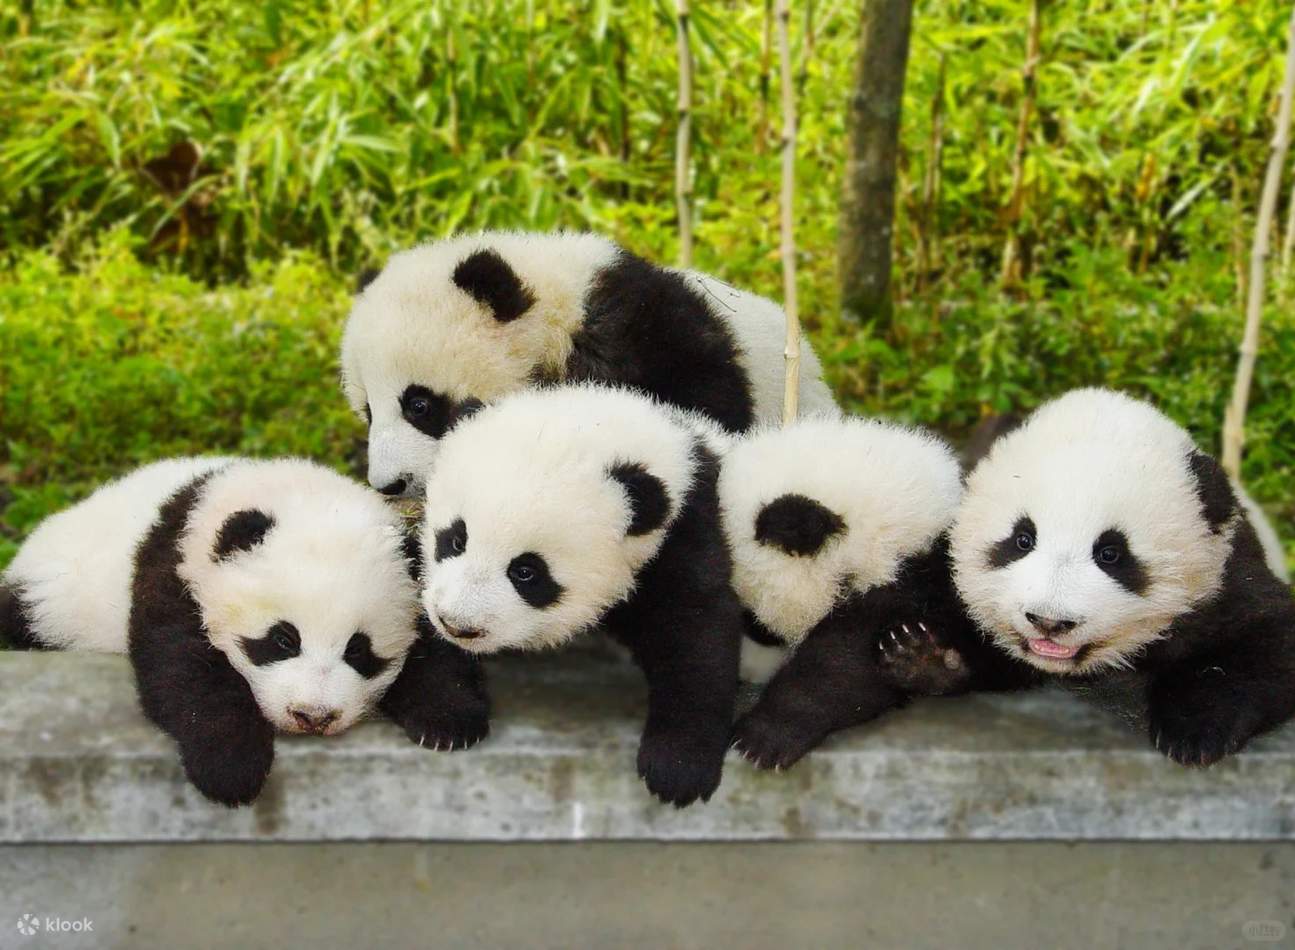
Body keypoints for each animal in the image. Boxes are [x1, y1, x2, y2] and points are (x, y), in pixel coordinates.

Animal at [0, 457, 488, 805]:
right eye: (282, 640)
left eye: (358, 651)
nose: (313, 716)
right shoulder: (174, 568)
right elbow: (184, 670)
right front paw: (230, 768)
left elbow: (436, 644)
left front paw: (447, 721)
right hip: (50, 600)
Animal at [414, 383, 744, 807]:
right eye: (456, 539)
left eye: (526, 572)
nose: (457, 625)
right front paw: (445, 717)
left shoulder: (682, 534)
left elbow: (694, 630)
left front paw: (678, 767)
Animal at [894, 388, 1295, 767]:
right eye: (1022, 539)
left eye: (1110, 554)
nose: (1049, 622)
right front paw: (926, 656)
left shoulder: (1226, 577)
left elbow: (1266, 641)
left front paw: (1194, 731)